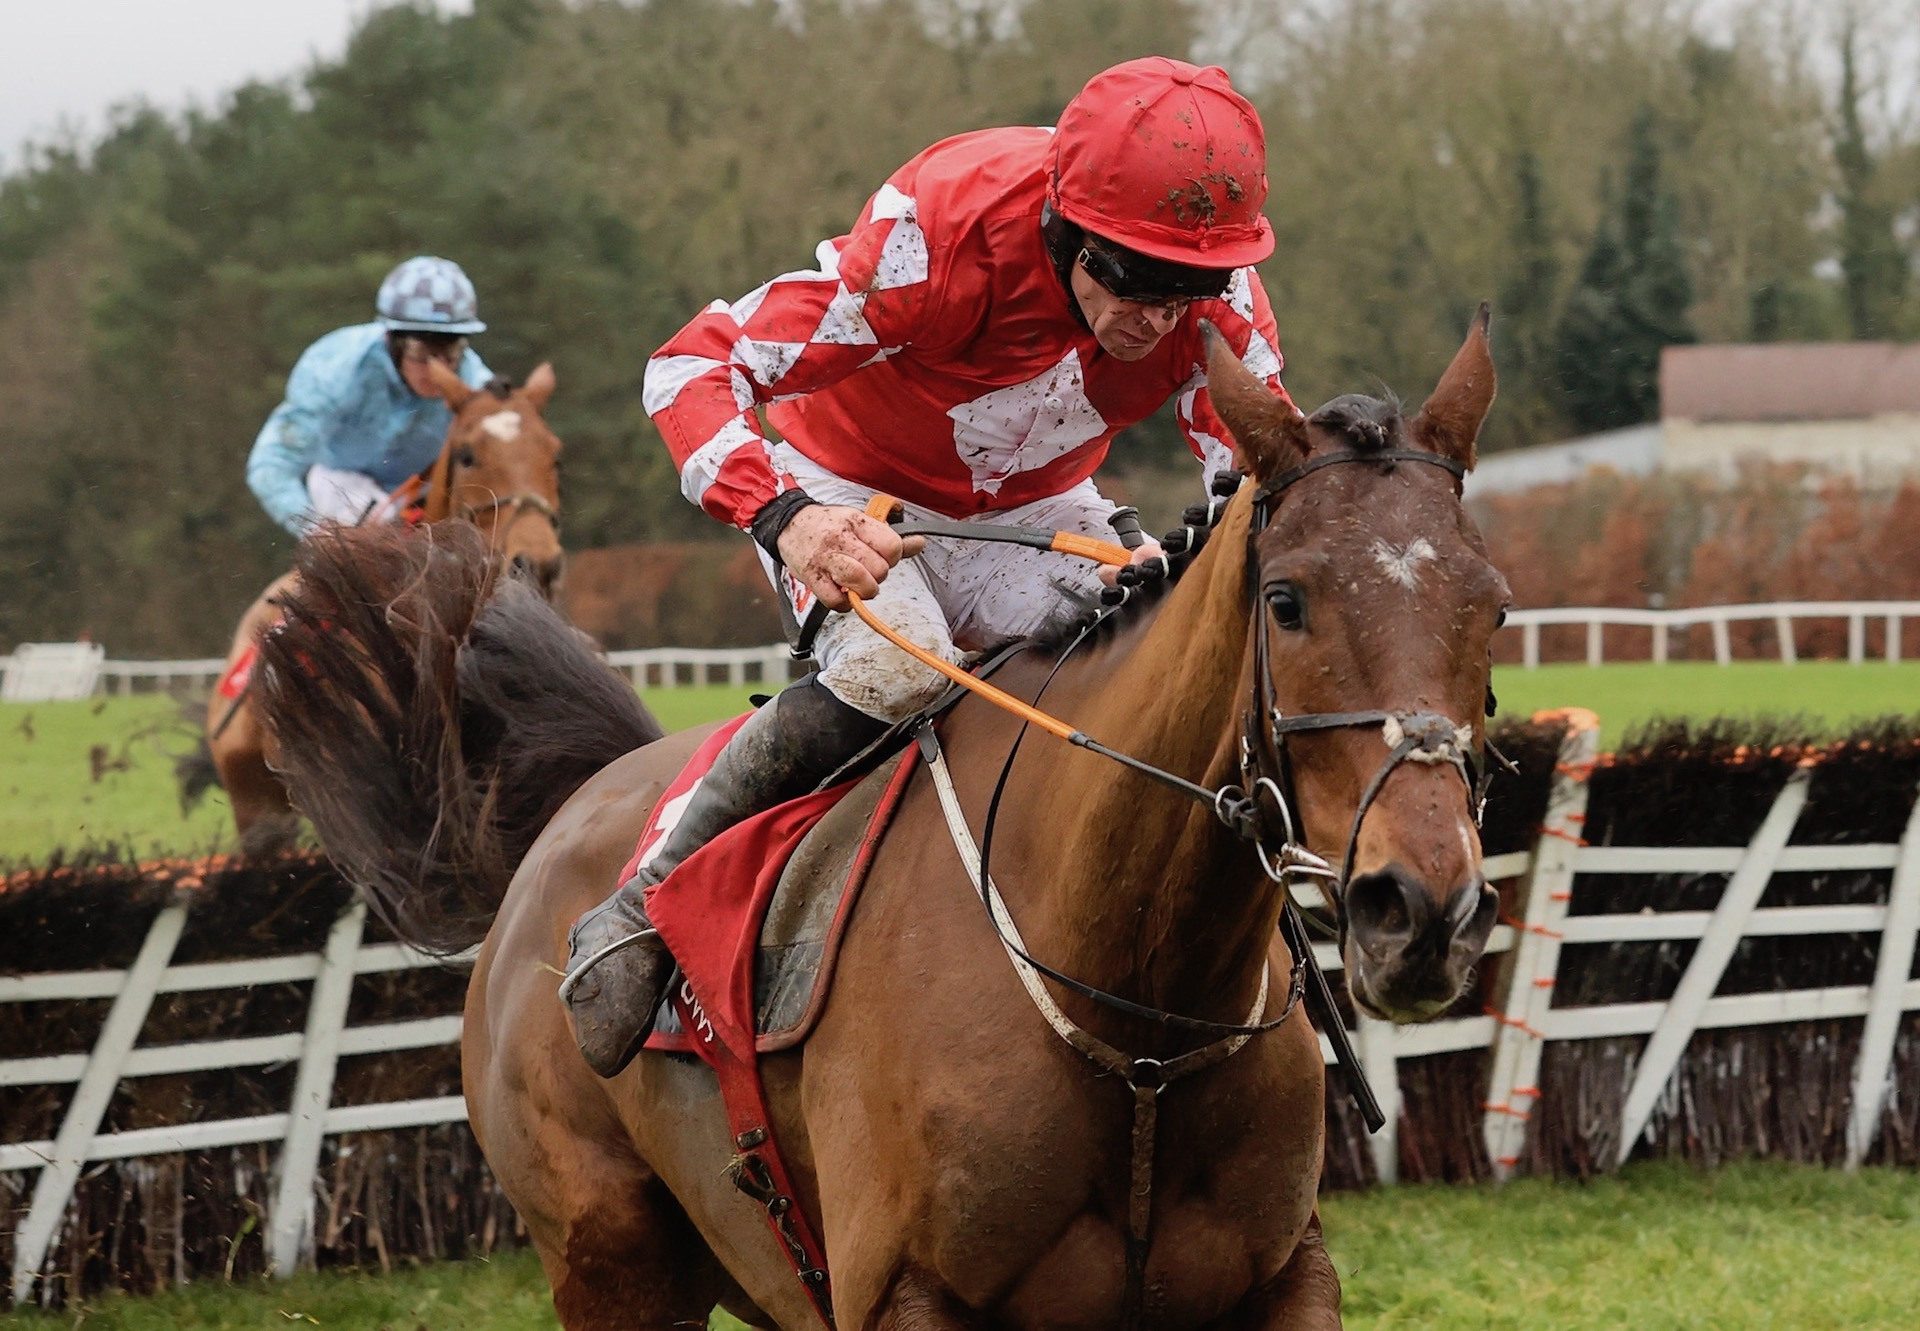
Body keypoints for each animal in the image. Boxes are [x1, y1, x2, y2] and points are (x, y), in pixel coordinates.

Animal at [263, 314, 1505, 1329]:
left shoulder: (1284, 1278)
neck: (1139, 1011)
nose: (1422, 910)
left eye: (1492, 604)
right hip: (610, 1259)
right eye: (1286, 600)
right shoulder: (908, 1295)